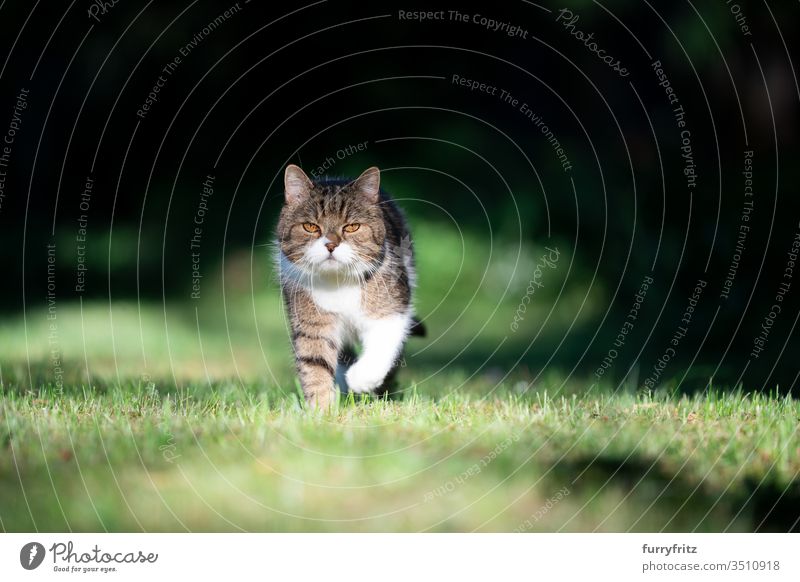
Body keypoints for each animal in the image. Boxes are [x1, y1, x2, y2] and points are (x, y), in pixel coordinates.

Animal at [276, 164, 424, 410]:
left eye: (352, 227)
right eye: (310, 227)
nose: (331, 244)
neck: (338, 281)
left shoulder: (393, 308)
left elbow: (383, 343)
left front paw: (361, 379)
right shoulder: (311, 323)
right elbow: (315, 363)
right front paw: (321, 410)